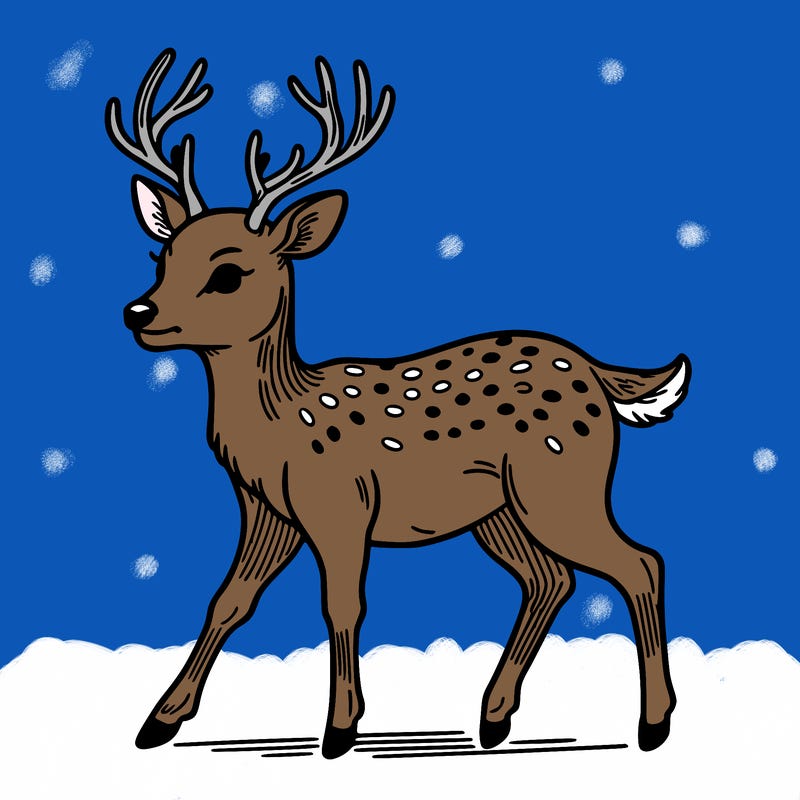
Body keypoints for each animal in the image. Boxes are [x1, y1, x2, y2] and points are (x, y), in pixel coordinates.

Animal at [107, 49, 690, 759]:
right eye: (160, 253)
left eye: (228, 272)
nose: (139, 313)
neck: (278, 425)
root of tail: (599, 375)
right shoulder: (266, 510)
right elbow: (229, 600)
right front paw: (159, 722)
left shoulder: (341, 503)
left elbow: (342, 605)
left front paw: (339, 730)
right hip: (500, 510)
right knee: (550, 579)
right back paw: (493, 718)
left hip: (560, 482)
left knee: (640, 563)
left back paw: (653, 724)